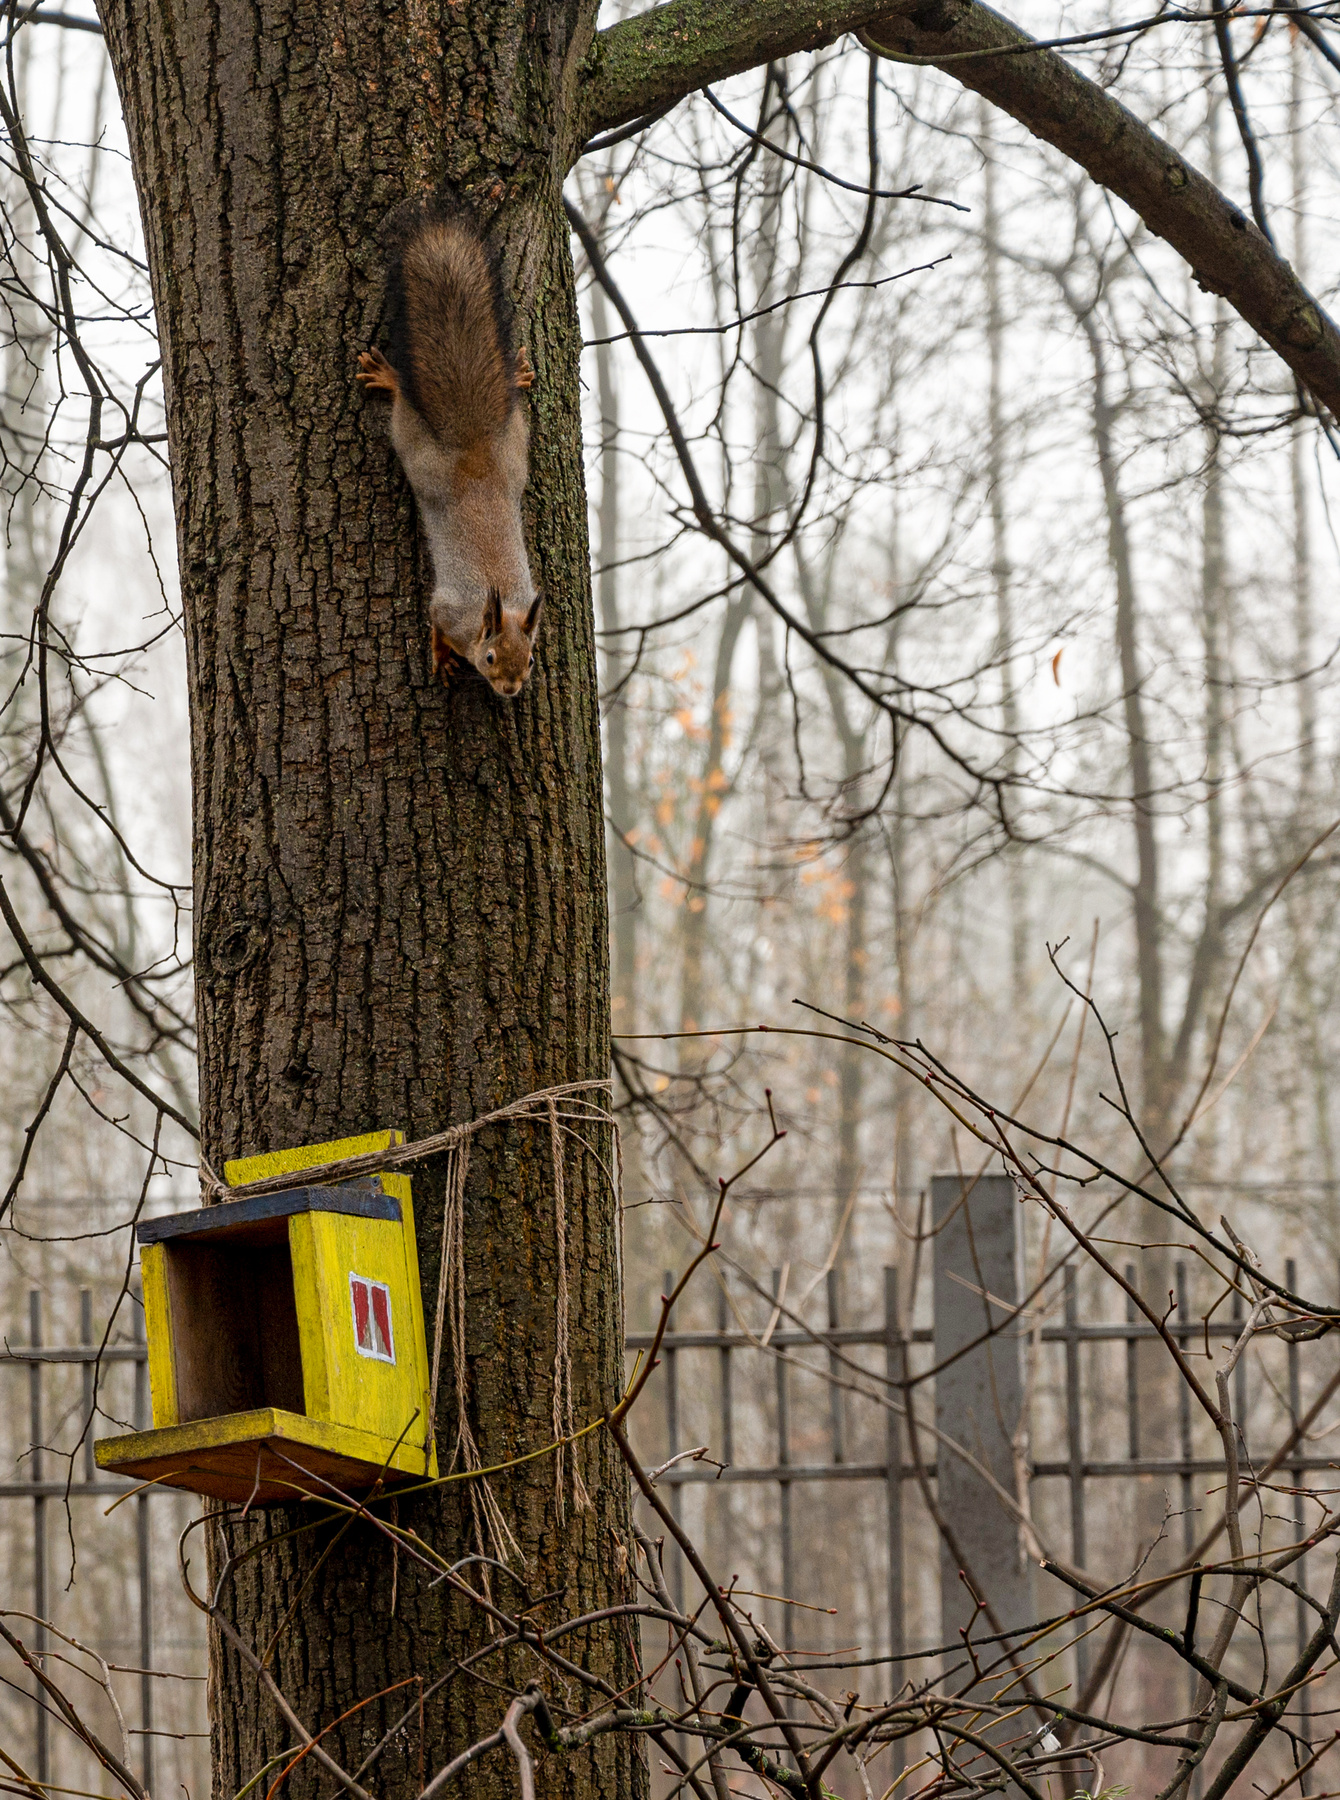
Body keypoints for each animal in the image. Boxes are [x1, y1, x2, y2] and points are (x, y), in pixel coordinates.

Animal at [357, 208, 542, 699]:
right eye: (491, 657)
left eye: (530, 660)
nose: (510, 689)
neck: (490, 611)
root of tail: (473, 453)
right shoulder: (448, 613)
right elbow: (436, 626)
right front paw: (442, 660)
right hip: (418, 452)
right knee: (404, 406)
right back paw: (389, 378)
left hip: (514, 447)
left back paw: (515, 374)